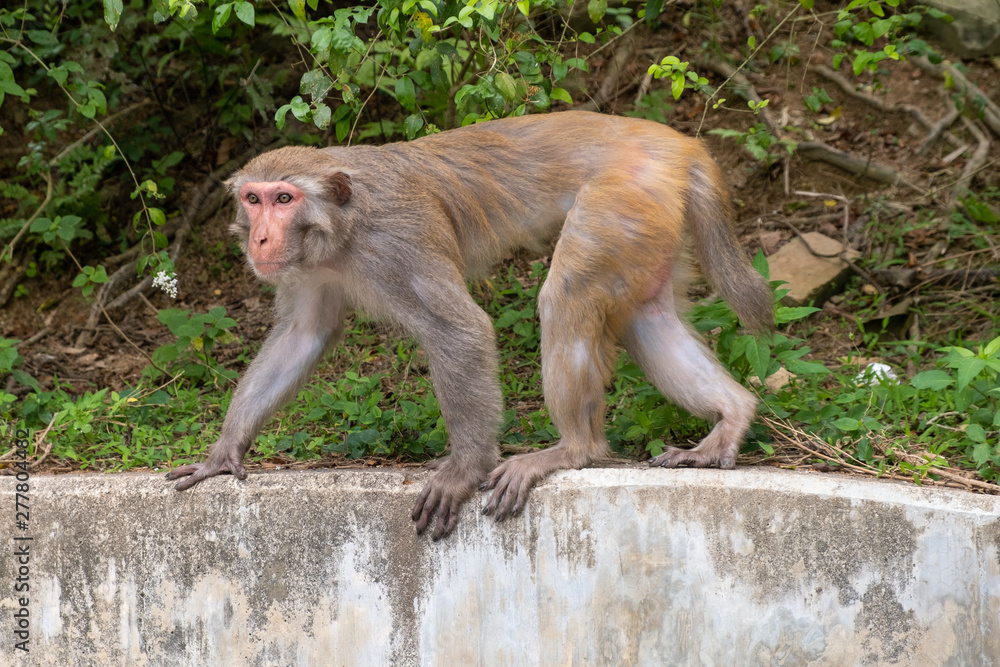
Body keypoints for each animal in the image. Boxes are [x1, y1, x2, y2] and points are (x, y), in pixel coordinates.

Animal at [165, 110, 773, 540]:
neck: (341, 227)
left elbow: (461, 330)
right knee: (647, 315)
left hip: (622, 196)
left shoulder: (396, 242)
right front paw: (224, 451)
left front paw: (465, 470)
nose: (260, 238)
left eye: (284, 198)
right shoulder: (310, 268)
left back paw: (574, 449)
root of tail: (678, 143)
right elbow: (302, 337)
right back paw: (732, 415)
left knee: (566, 297)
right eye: (254, 198)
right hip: (648, 219)